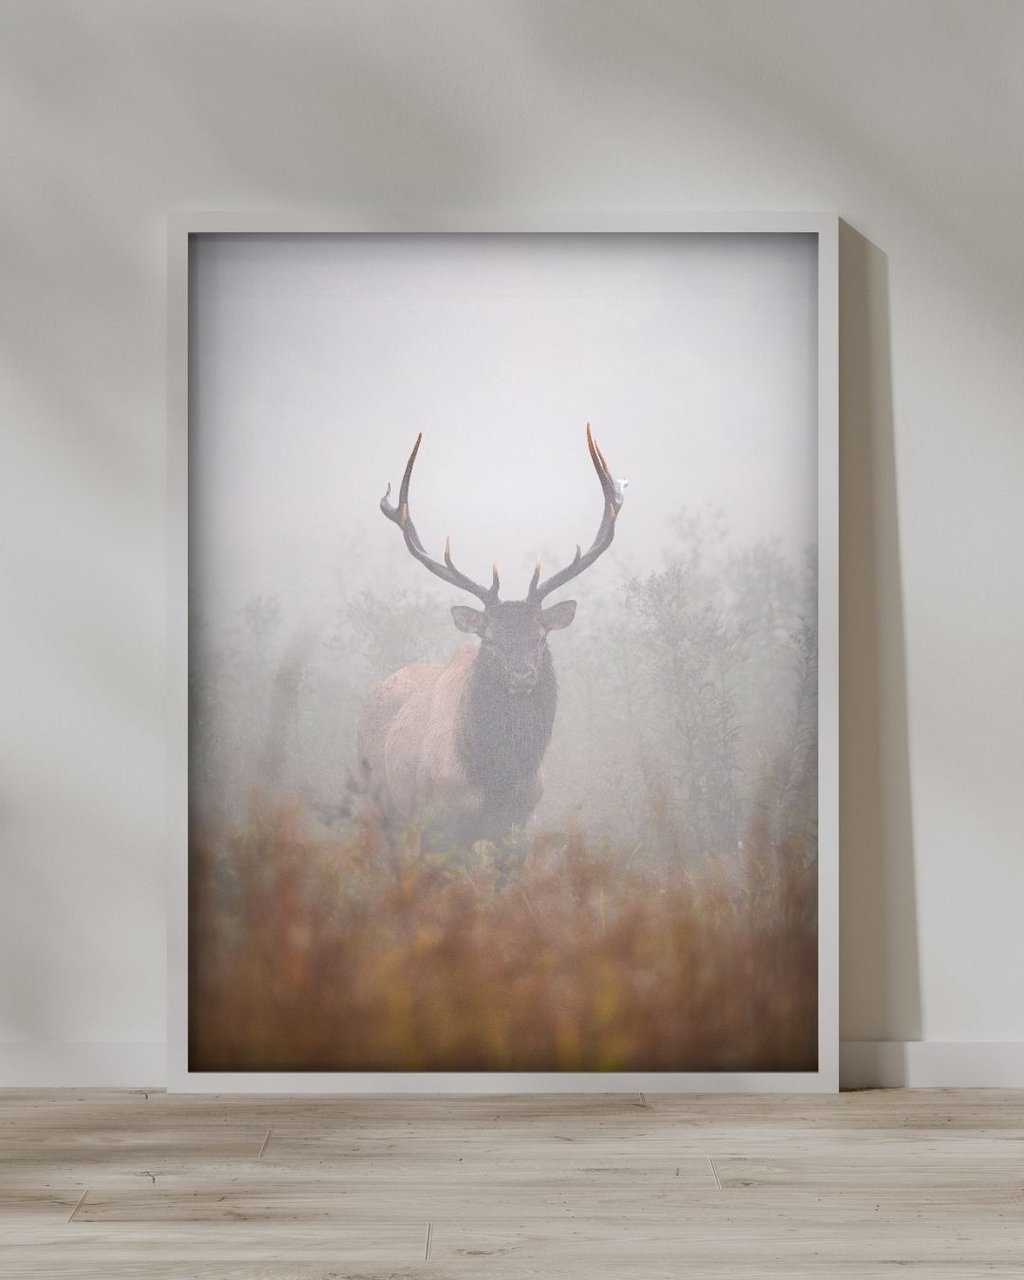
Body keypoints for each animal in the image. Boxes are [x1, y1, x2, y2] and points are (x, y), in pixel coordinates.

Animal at [356, 425, 625, 847]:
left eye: (541, 637)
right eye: (492, 638)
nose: (521, 675)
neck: (496, 779)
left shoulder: (516, 824)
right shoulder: (442, 826)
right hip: (378, 804)